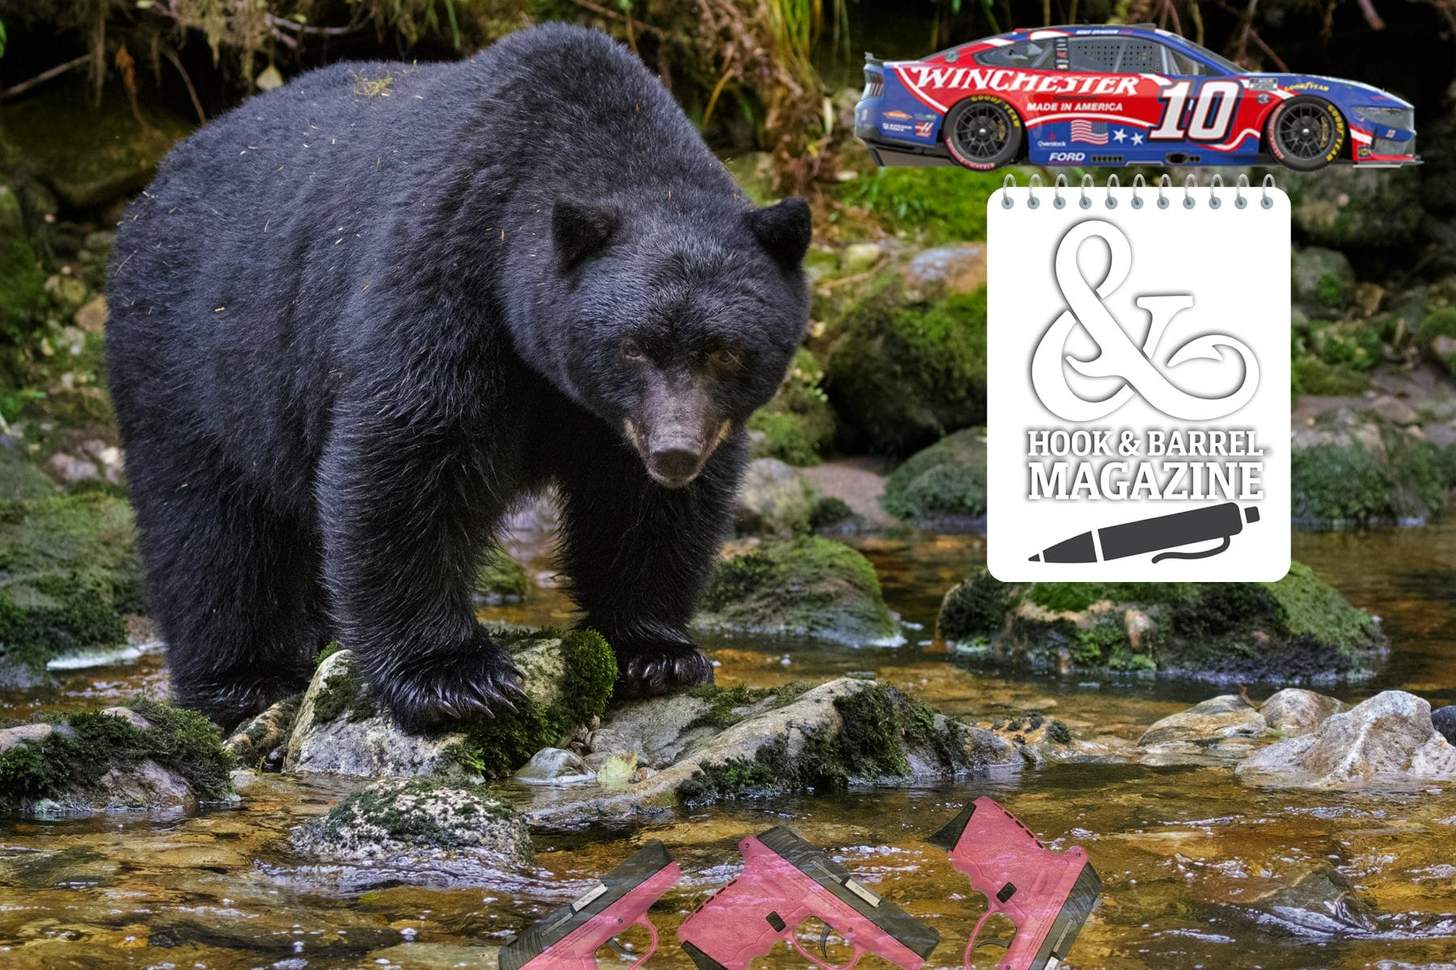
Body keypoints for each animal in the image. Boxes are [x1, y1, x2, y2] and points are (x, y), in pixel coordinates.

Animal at [104, 23, 812, 730]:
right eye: (634, 346)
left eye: (724, 351)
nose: (674, 453)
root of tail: (156, 182)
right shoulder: (448, 271)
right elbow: (409, 457)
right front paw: (454, 676)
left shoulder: (624, 418)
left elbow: (640, 506)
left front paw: (656, 651)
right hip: (192, 354)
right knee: (211, 526)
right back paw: (245, 677)